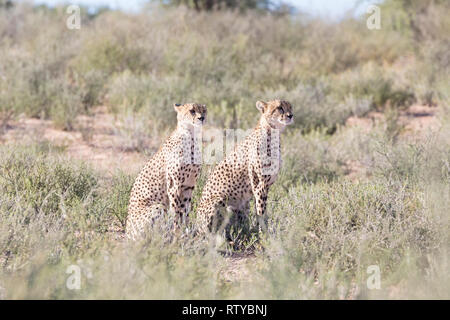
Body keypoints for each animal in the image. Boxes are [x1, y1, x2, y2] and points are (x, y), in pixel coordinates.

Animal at [126, 103, 207, 240]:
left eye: (204, 110)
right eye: (192, 111)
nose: (202, 118)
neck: (191, 137)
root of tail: (126, 231)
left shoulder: (188, 186)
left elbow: (185, 210)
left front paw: (186, 232)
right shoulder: (174, 186)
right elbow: (176, 211)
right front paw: (177, 233)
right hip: (158, 207)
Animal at [195, 100, 294, 235]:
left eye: (290, 107)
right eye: (280, 108)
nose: (291, 116)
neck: (273, 132)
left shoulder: (263, 187)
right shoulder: (260, 186)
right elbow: (261, 213)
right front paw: (264, 235)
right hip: (219, 200)